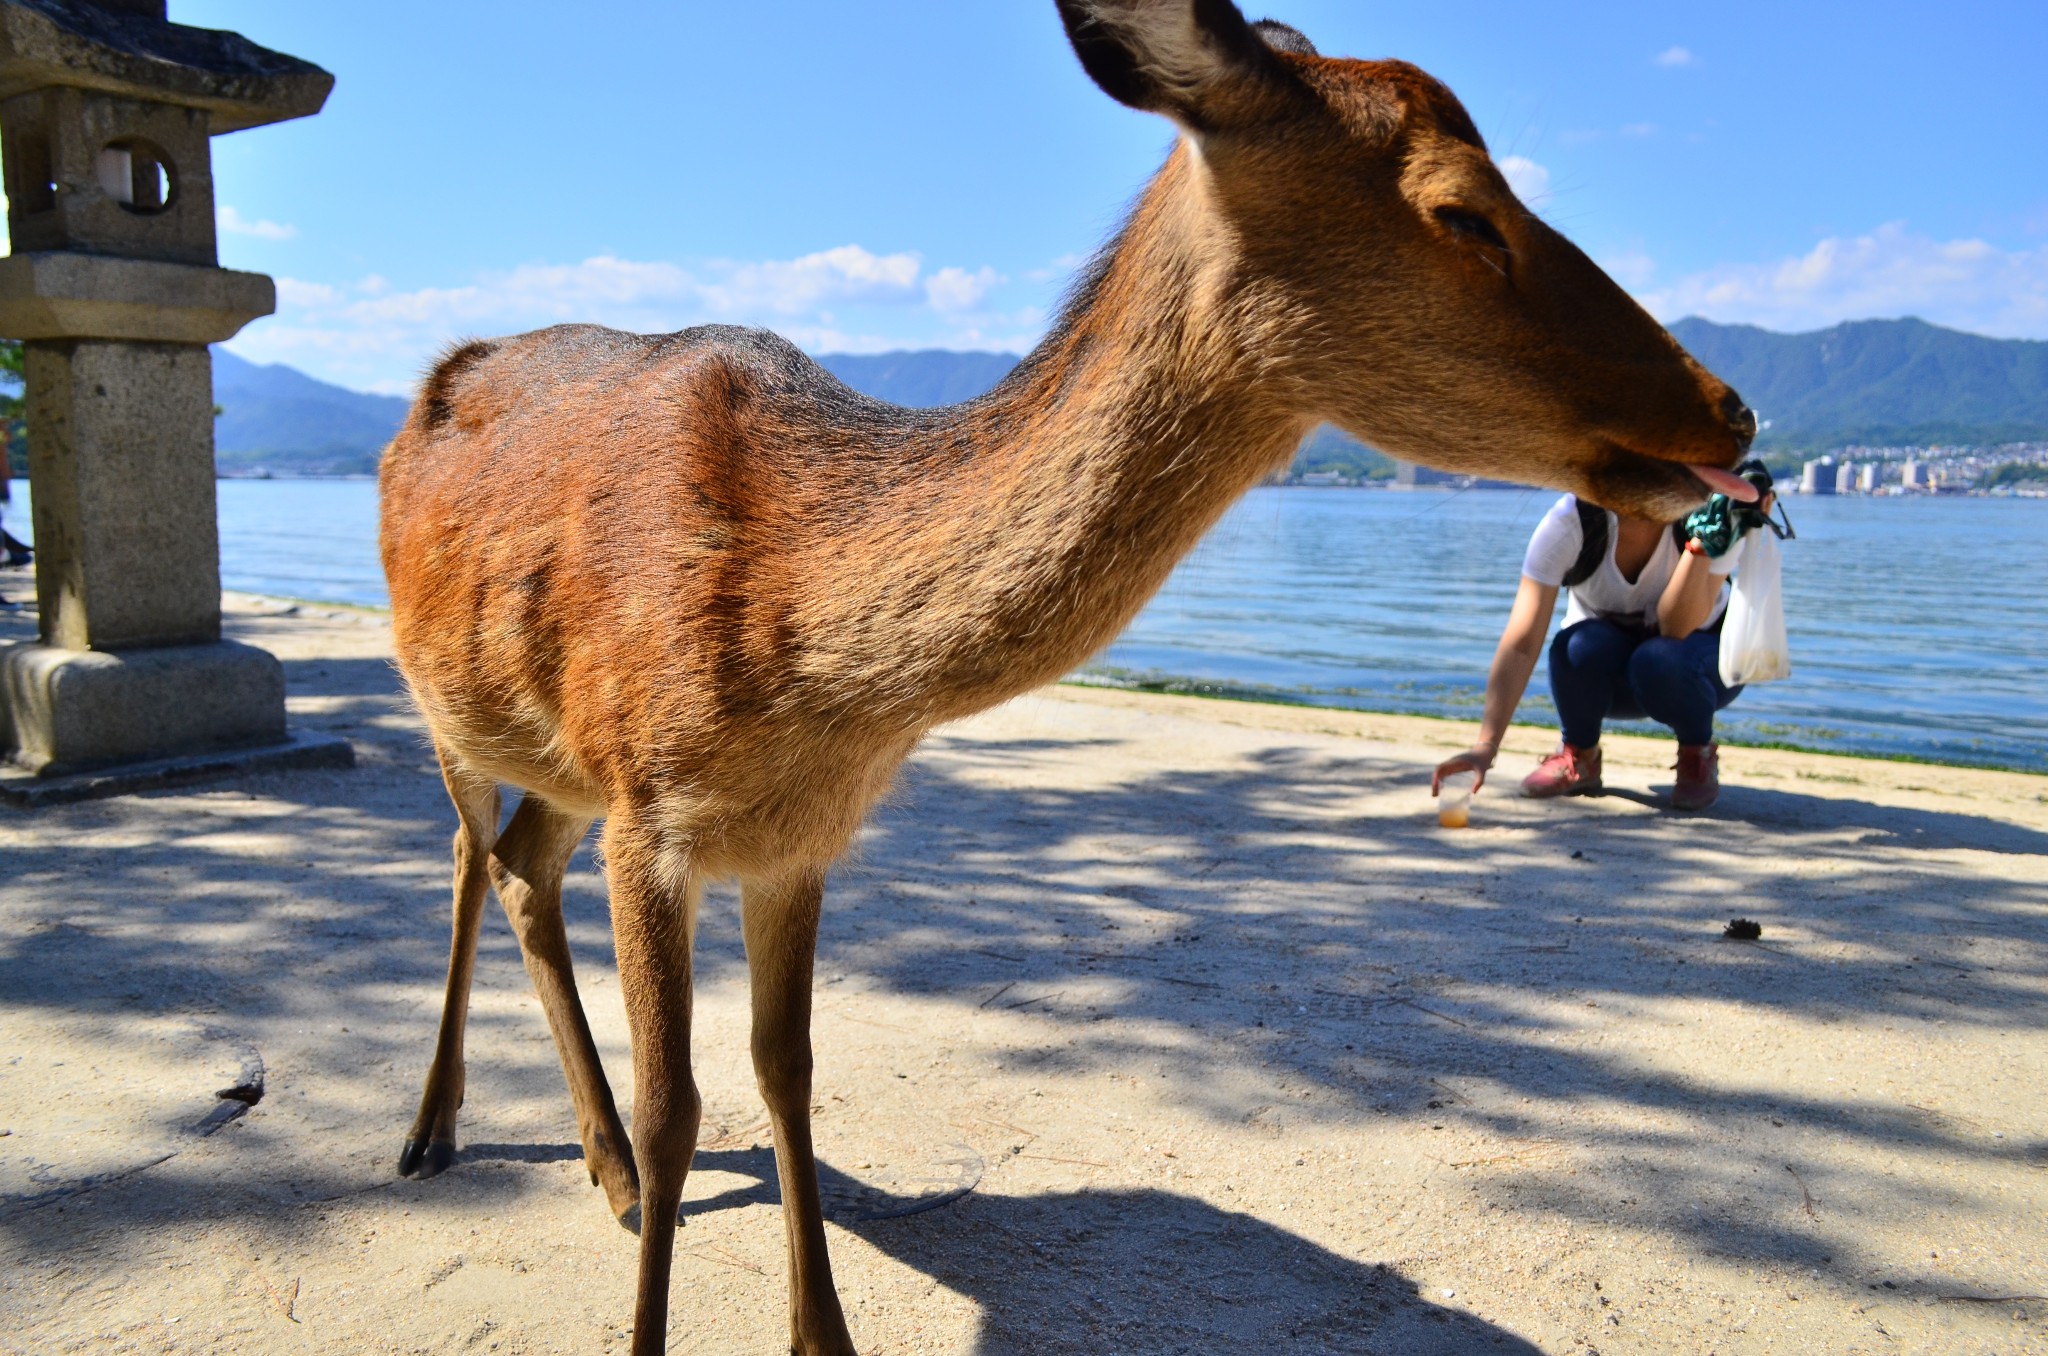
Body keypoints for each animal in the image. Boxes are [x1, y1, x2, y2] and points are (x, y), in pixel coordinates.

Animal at [380, 2, 1761, 1356]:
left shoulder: (795, 838)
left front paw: (823, 1334)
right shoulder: (650, 809)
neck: (802, 663)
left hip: (556, 763)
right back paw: (434, 1131)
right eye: (1463, 207)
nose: (1731, 412)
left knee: (520, 866)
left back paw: (597, 1165)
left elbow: (789, 1069)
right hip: (442, 700)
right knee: (466, 856)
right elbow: (681, 1107)